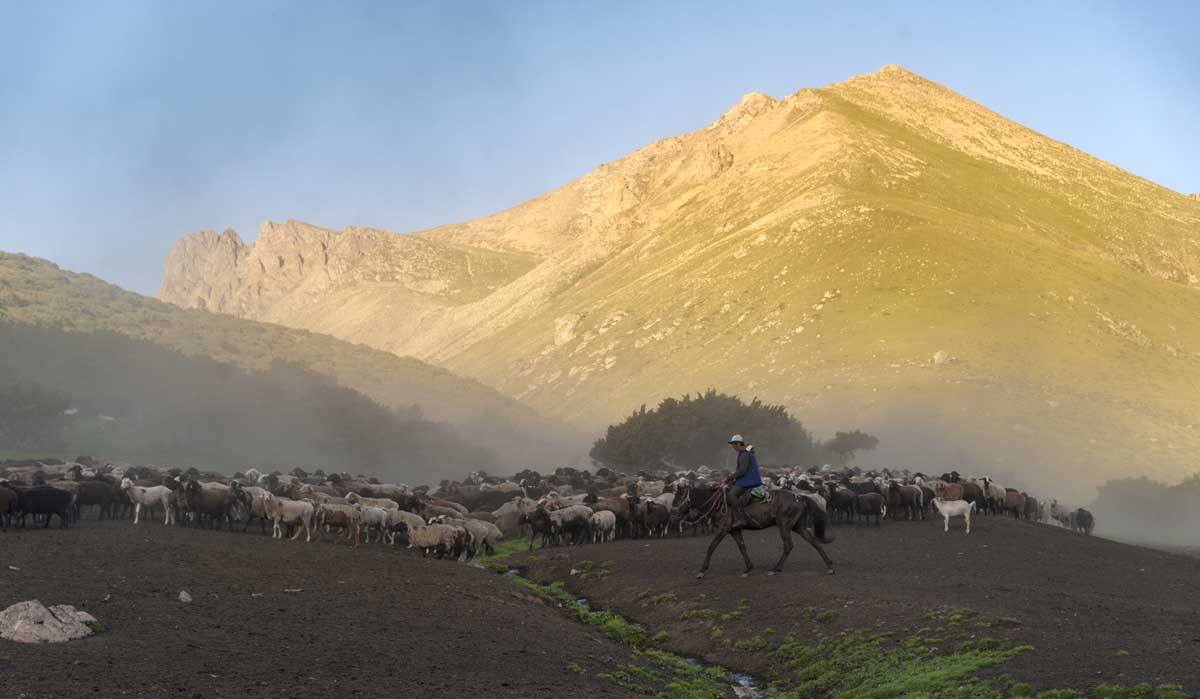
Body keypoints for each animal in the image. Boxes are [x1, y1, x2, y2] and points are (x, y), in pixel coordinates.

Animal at [676, 487, 835, 581]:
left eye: (680, 496)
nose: (676, 511)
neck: (720, 504)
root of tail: (800, 497)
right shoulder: (734, 530)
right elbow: (742, 548)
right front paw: (748, 568)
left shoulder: (723, 529)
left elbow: (711, 547)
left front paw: (702, 571)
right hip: (798, 527)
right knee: (814, 542)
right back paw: (829, 566)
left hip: (784, 526)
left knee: (788, 546)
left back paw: (775, 569)